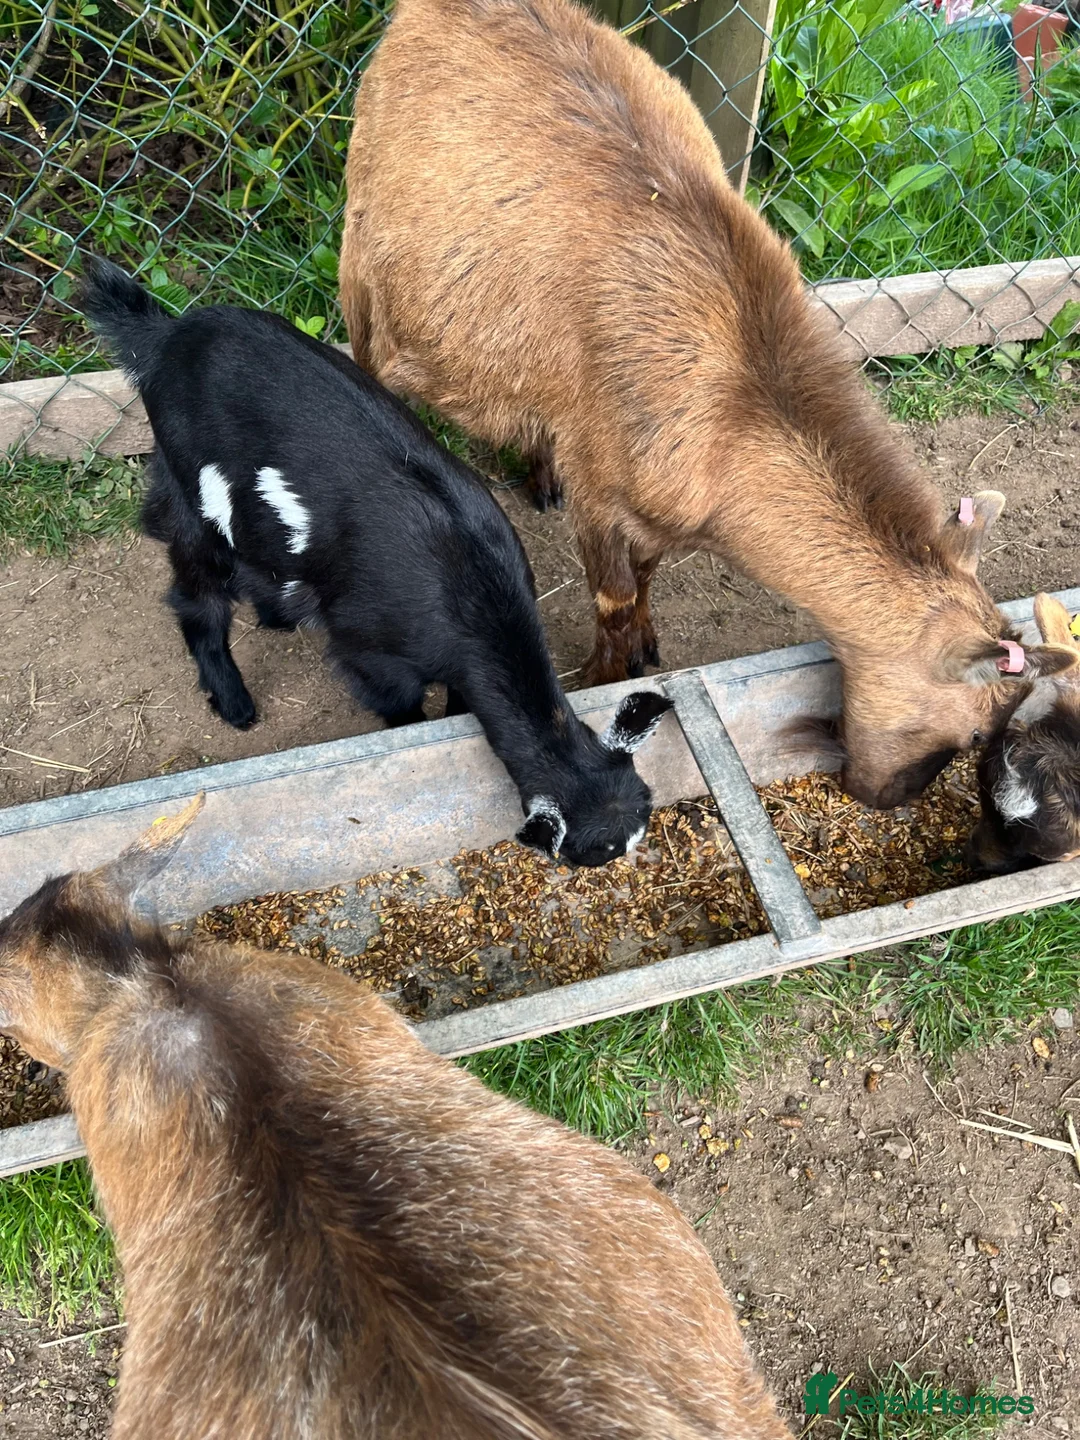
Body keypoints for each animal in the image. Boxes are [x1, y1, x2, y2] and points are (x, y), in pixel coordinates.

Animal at [80, 257, 672, 867]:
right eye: (593, 853)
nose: (637, 862)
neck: (471, 592)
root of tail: (166, 336)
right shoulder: (371, 655)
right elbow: (401, 709)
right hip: (190, 494)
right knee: (196, 594)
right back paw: (234, 701)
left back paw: (277, 617)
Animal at [339, 0, 1073, 808]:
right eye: (975, 733)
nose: (884, 798)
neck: (730, 410)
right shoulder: (602, 486)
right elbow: (613, 600)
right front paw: (604, 677)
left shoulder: (647, 502)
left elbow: (647, 577)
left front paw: (649, 646)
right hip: (362, 256)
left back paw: (539, 473)